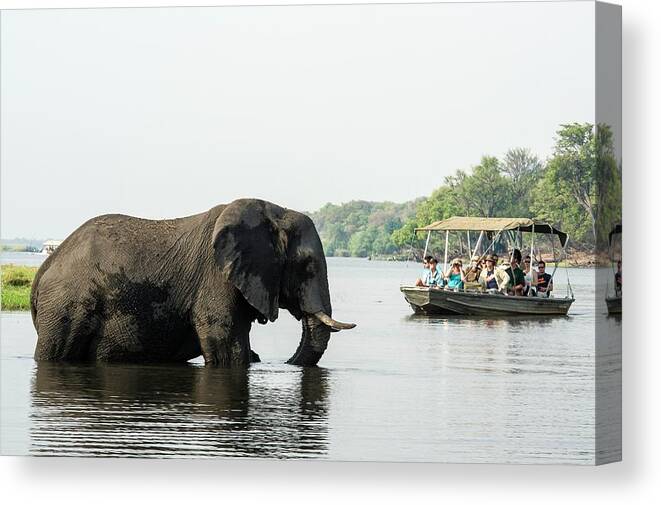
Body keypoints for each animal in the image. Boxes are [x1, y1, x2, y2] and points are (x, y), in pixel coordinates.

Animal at [29, 197, 356, 366]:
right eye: (308, 265)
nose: (283, 364)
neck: (274, 213)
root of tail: (44, 269)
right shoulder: (216, 278)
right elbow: (228, 349)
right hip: (67, 305)